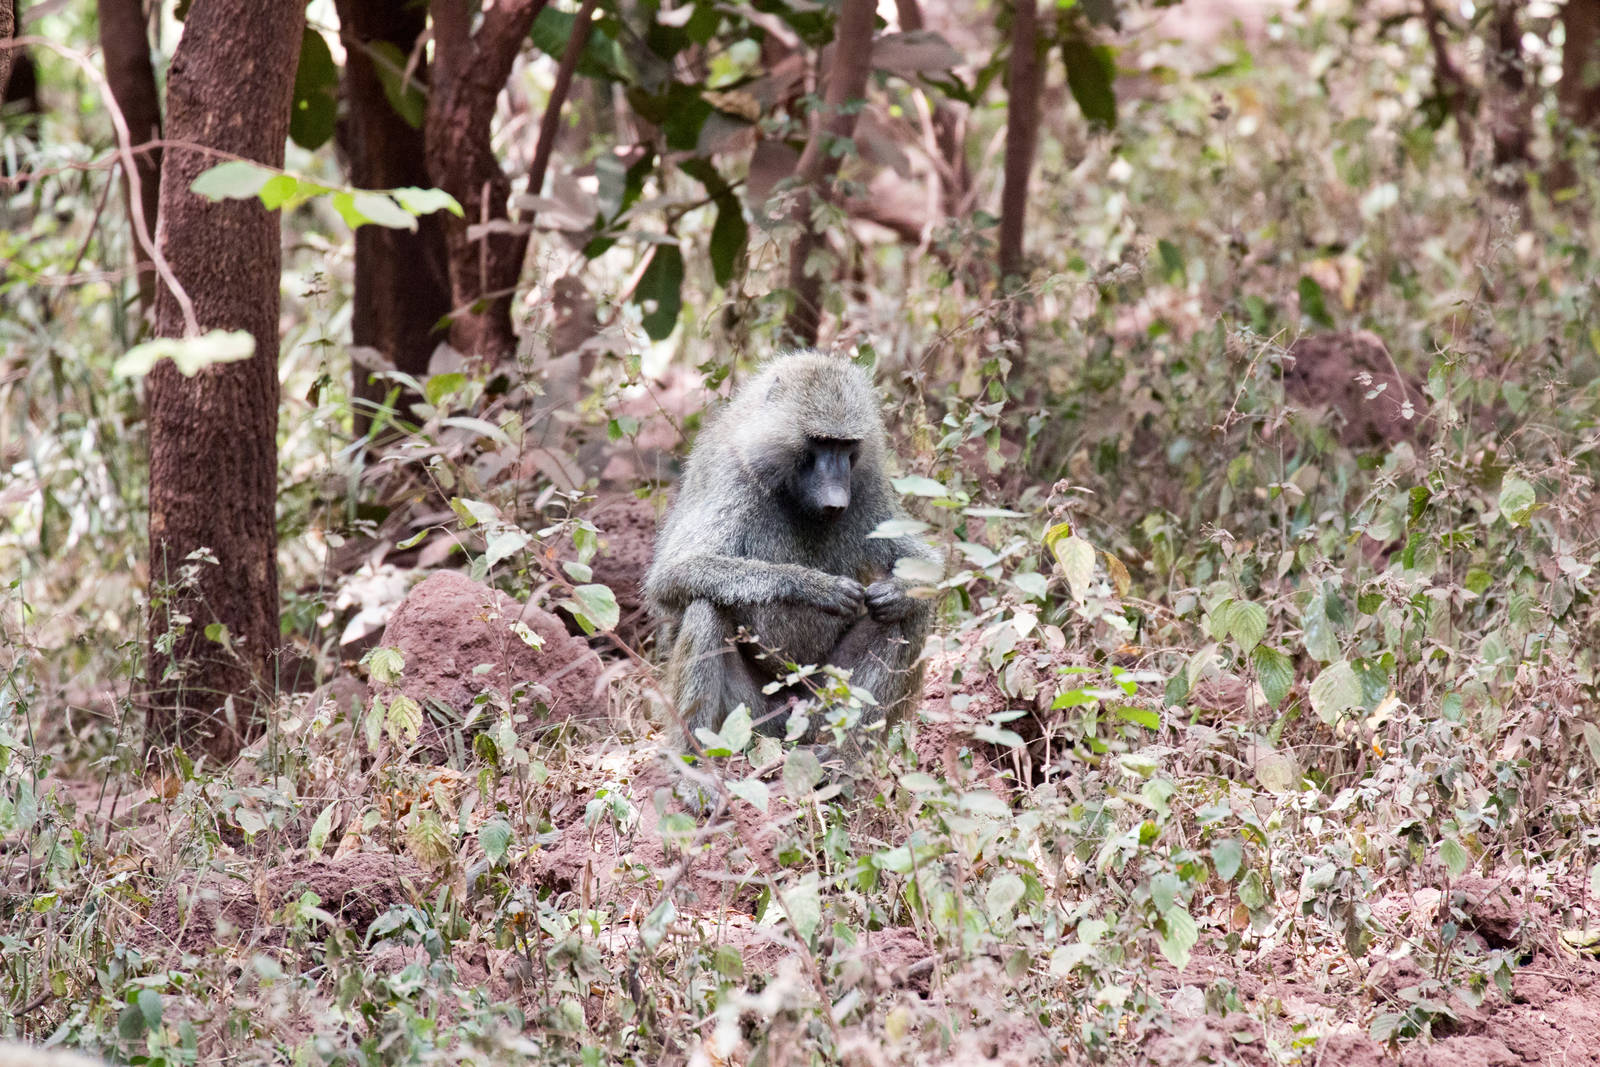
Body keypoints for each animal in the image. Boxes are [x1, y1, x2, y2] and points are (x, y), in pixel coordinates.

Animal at [645, 351, 939, 744]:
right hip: (751, 717)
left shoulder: (868, 486)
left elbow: (924, 565)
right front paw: (816, 587)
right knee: (705, 606)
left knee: (904, 616)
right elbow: (673, 572)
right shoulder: (733, 478)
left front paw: (896, 591)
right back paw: (695, 754)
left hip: (823, 705)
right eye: (820, 442)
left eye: (846, 446)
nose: (836, 500)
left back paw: (846, 754)